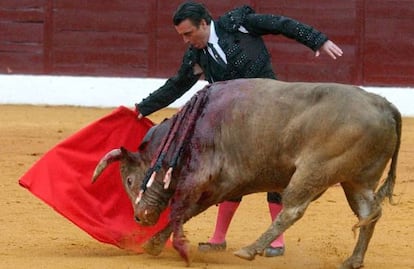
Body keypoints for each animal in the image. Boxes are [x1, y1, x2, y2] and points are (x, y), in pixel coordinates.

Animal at [92, 78, 400, 268]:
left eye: (129, 180)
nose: (139, 217)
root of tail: (384, 104)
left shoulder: (199, 179)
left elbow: (181, 211)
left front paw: (160, 245)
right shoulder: (220, 186)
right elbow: (191, 211)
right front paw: (154, 244)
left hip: (314, 170)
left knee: (293, 209)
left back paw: (250, 250)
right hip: (357, 180)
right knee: (369, 213)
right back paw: (353, 260)